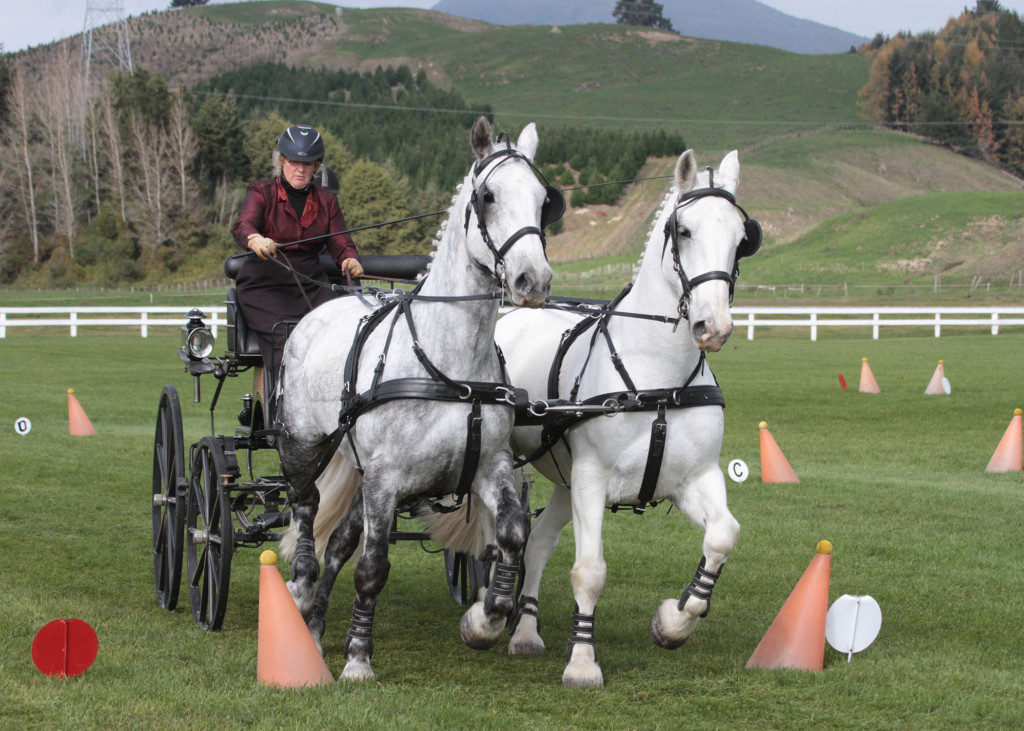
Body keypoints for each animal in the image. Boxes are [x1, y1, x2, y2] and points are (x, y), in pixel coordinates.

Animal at [276, 116, 557, 679]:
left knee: (338, 542)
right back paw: (300, 583)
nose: (532, 279)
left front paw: (483, 621)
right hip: (303, 443)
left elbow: (511, 535)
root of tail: (319, 310)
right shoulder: (385, 477)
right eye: (488, 196)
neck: (450, 365)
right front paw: (358, 658)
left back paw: (314, 628)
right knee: (306, 503)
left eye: (543, 200)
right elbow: (372, 568)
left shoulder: (488, 465)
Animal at [428, 146, 757, 683]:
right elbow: (589, 572)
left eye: (740, 238)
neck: (656, 380)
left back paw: (524, 630)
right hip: (526, 470)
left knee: (536, 543)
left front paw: (674, 621)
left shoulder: (695, 477)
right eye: (684, 230)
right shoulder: (590, 480)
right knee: (508, 539)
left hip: (564, 482)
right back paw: (494, 611)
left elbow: (723, 536)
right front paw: (582, 661)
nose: (714, 326)